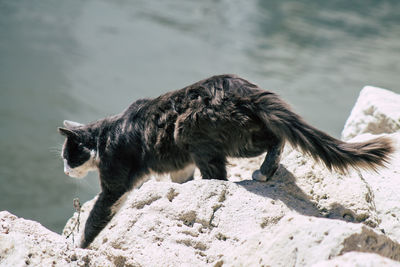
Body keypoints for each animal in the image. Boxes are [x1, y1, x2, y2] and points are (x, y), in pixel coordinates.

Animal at [57, 74, 392, 249]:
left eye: (68, 155)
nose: (65, 170)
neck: (105, 136)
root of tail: (244, 87)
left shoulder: (115, 181)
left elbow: (96, 218)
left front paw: (79, 248)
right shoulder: (181, 166)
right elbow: (180, 179)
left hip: (195, 133)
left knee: (262, 148)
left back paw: (262, 173)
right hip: (232, 136)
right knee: (273, 138)